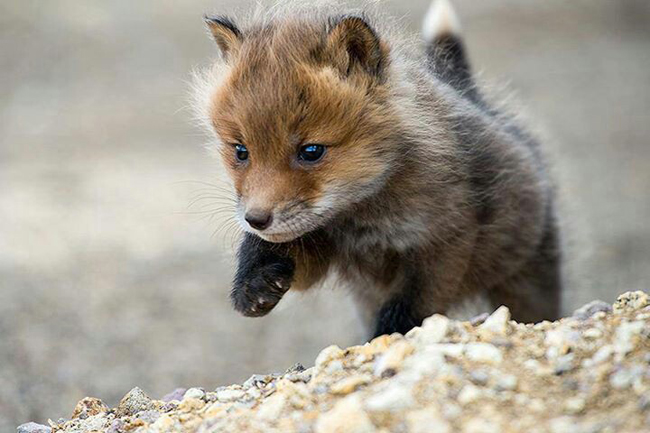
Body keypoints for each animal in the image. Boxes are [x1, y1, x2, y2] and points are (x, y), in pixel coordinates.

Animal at [193, 0, 562, 338]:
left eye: (311, 151)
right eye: (241, 151)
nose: (256, 219)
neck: (362, 216)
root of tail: (467, 93)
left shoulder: (446, 240)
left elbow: (410, 306)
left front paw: (389, 335)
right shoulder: (321, 243)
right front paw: (255, 280)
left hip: (526, 277)